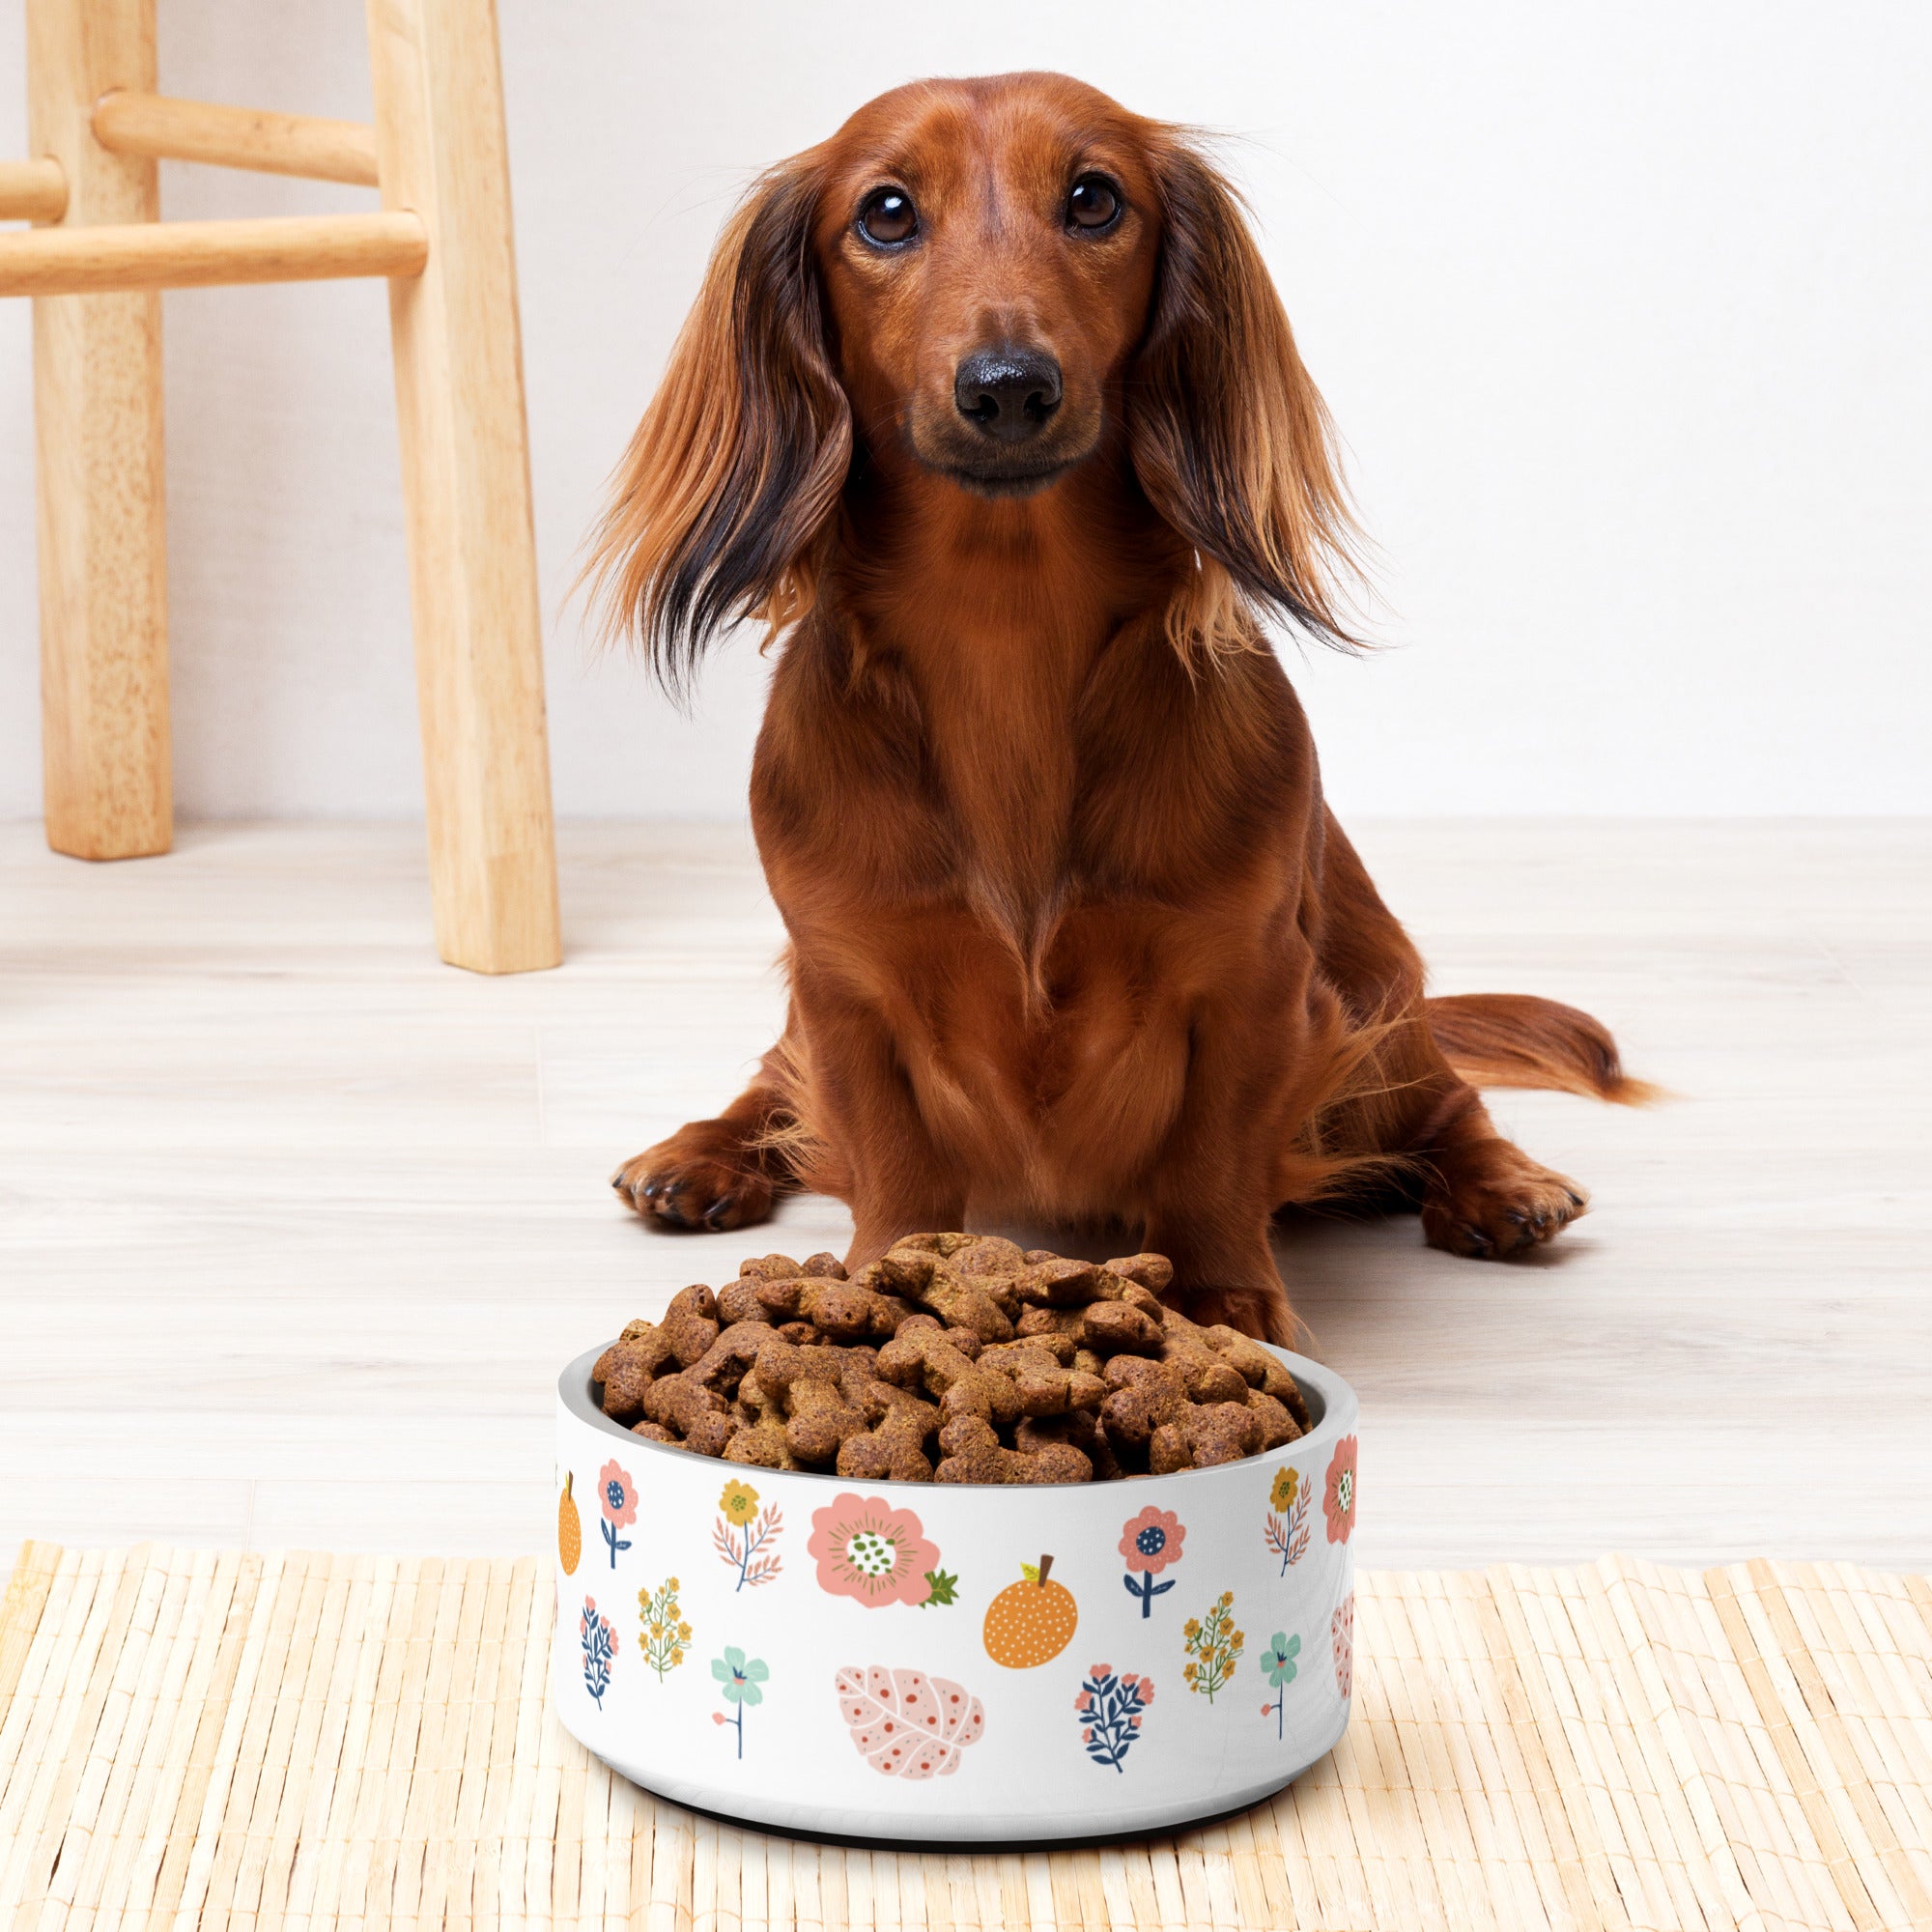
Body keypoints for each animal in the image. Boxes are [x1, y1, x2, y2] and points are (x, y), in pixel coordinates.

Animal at [587, 75, 1646, 1345]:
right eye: (884, 212)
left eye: (1093, 198)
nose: (1007, 387)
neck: (1005, 634)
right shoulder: (845, 982)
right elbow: (888, 1156)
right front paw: (884, 1281)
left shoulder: (1251, 980)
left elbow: (1210, 1158)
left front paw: (1225, 1297)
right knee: (770, 1084)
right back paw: (699, 1154)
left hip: (1374, 995)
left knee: (1445, 1100)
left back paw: (1501, 1184)